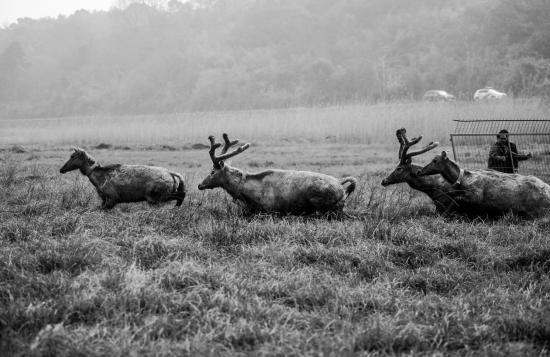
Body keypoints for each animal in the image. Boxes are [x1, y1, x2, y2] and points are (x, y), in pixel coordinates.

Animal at [59, 148, 187, 209]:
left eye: (72, 156)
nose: (62, 169)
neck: (97, 177)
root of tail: (171, 173)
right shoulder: (104, 199)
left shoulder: (112, 198)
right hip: (162, 196)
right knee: (181, 195)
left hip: (156, 198)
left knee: (181, 195)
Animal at [198, 132, 358, 213]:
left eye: (212, 171)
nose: (200, 185)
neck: (245, 193)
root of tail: (341, 185)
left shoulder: (268, 210)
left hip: (321, 202)